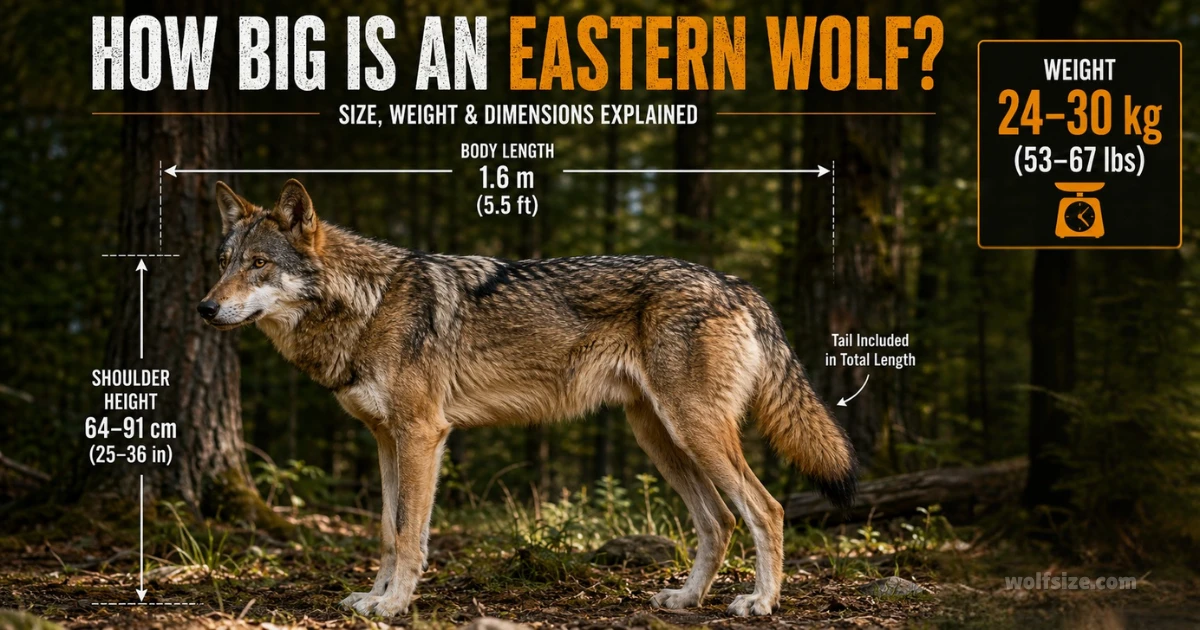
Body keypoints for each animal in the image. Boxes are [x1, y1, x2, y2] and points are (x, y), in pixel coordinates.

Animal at [198, 179, 857, 617]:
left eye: (259, 264)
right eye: (224, 261)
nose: (204, 308)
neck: (368, 304)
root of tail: (739, 286)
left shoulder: (422, 435)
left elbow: (411, 535)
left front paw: (394, 605)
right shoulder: (386, 438)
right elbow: (387, 530)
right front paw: (373, 596)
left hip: (694, 432)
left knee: (766, 509)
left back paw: (761, 601)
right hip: (659, 437)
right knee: (718, 520)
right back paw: (686, 598)